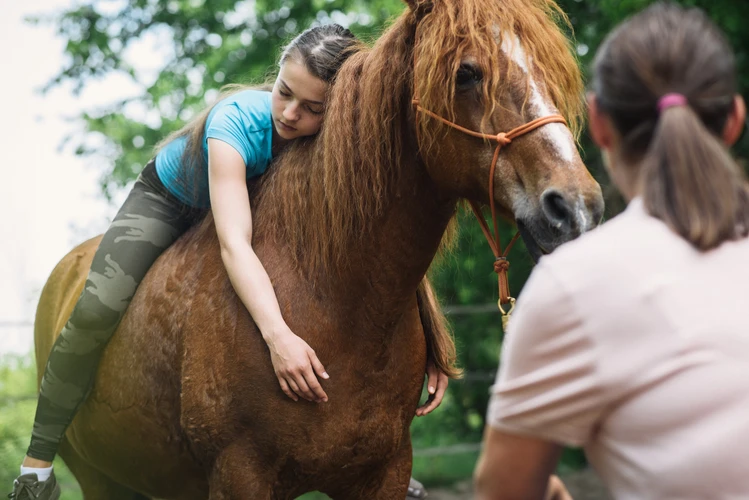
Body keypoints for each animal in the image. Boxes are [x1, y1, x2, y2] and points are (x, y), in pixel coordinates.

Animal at [33, 0, 604, 497]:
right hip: (101, 477)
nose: (575, 207)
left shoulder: (385, 474)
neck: (332, 297)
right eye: (466, 73)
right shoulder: (241, 476)